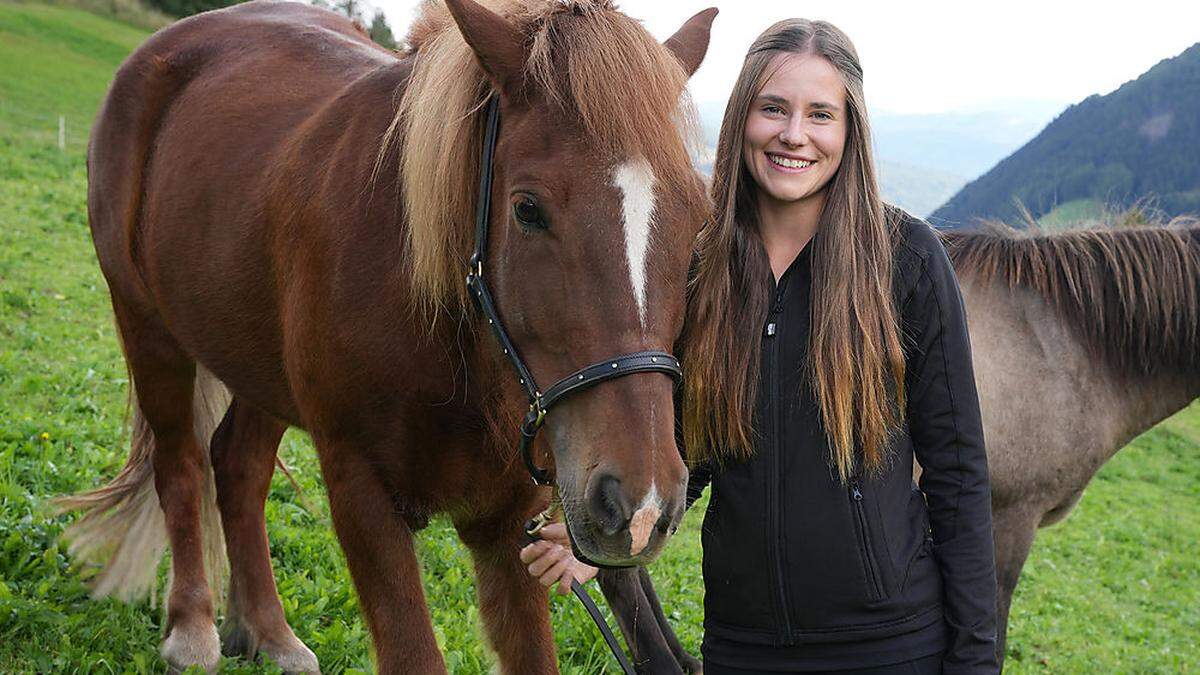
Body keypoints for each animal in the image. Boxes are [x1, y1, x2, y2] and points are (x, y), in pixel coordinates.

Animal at [60, 0, 715, 667]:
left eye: (699, 220)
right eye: (528, 209)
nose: (641, 505)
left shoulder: (511, 524)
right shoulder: (361, 494)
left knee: (238, 467)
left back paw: (267, 631)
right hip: (147, 326)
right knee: (181, 464)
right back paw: (193, 625)